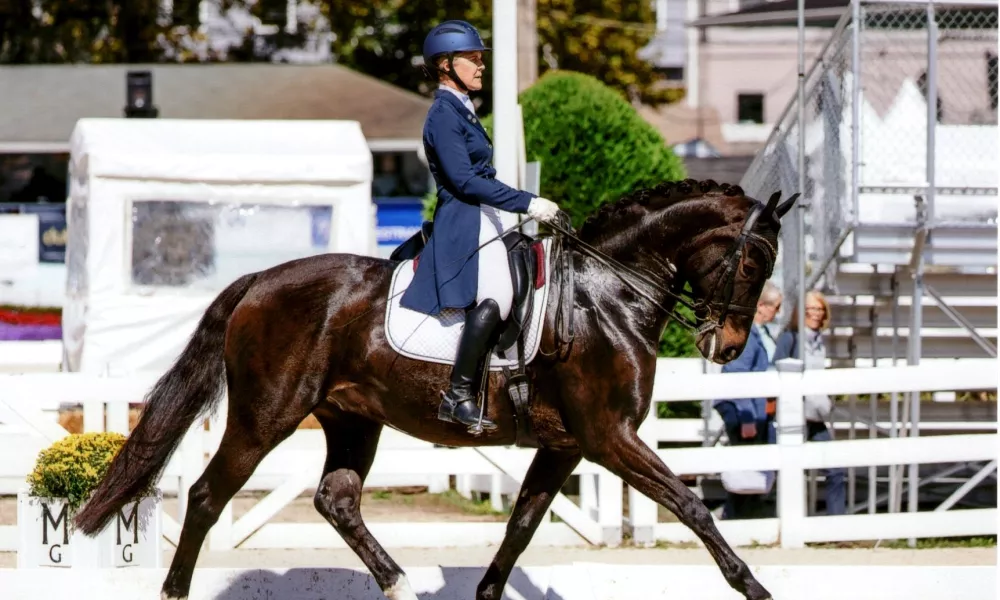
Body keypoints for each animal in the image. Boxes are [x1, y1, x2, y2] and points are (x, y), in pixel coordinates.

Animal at [74, 178, 796, 600]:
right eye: (755, 261)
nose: (728, 348)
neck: (606, 296)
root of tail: (259, 280)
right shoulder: (609, 437)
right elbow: (691, 505)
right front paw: (754, 587)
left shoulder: (566, 445)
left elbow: (522, 525)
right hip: (265, 416)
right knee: (204, 496)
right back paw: (175, 591)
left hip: (352, 420)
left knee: (336, 500)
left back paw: (397, 583)